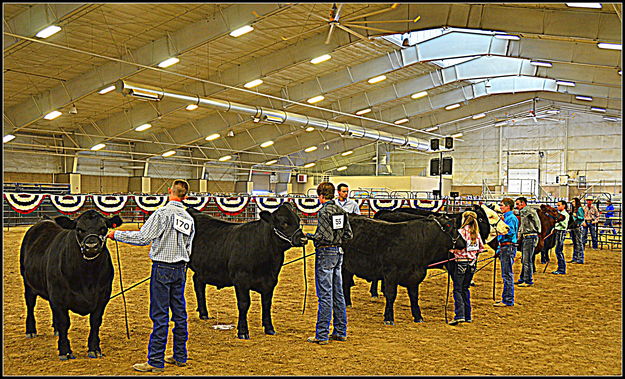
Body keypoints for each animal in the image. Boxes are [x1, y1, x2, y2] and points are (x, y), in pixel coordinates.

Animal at [20, 211, 122, 362]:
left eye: (103, 228)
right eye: (79, 229)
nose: (91, 246)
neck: (87, 276)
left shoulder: (103, 297)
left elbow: (95, 321)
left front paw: (94, 349)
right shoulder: (59, 297)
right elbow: (64, 323)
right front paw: (65, 351)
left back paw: (55, 329)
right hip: (28, 283)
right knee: (30, 305)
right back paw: (31, 331)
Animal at [186, 203, 306, 340]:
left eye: (298, 221)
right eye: (284, 223)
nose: (303, 239)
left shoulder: (270, 281)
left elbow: (266, 304)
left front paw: (269, 328)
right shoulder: (241, 280)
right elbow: (244, 304)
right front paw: (243, 331)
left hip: (203, 269)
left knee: (198, 283)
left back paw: (204, 314)